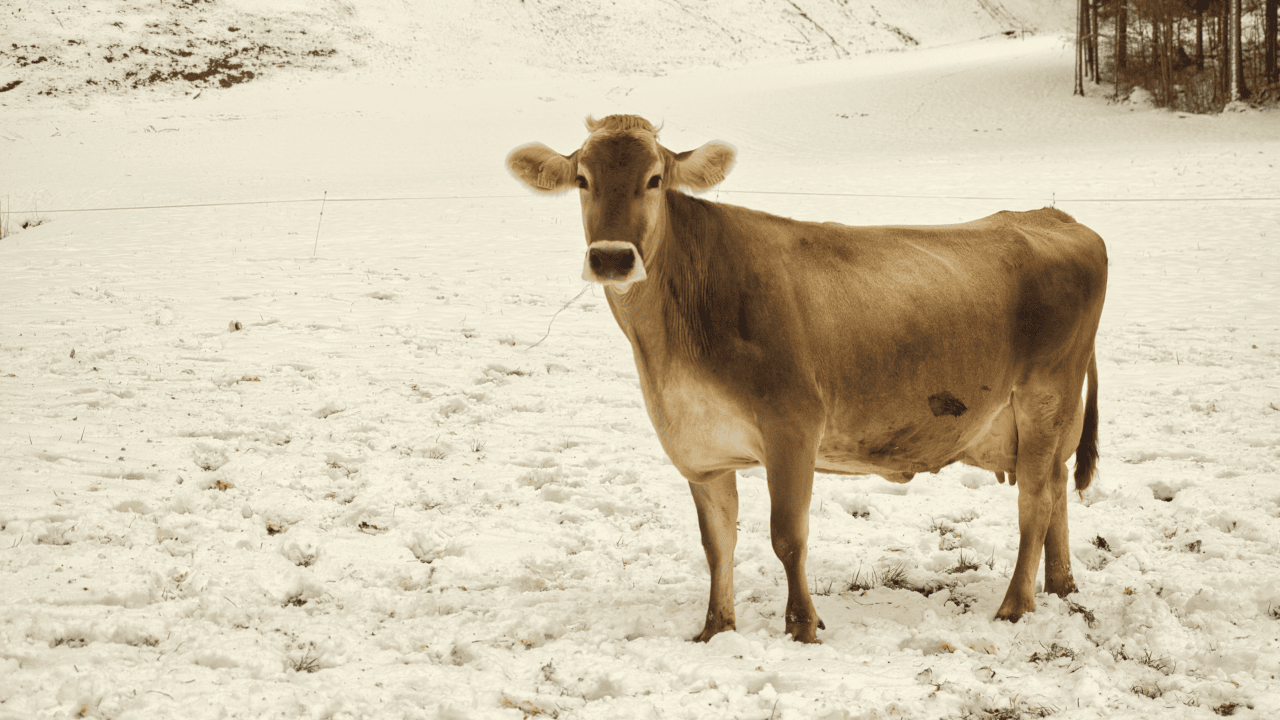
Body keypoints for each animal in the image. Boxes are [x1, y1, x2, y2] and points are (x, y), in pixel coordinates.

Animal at [504, 114, 1105, 640]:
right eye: (583, 180)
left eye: (654, 179)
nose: (612, 258)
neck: (670, 351)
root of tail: (1057, 219)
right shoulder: (698, 448)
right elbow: (717, 543)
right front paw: (716, 628)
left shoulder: (792, 426)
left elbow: (787, 537)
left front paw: (802, 627)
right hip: (1046, 418)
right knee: (1055, 485)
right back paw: (1061, 585)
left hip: (1044, 396)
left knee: (1035, 500)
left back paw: (1016, 604)